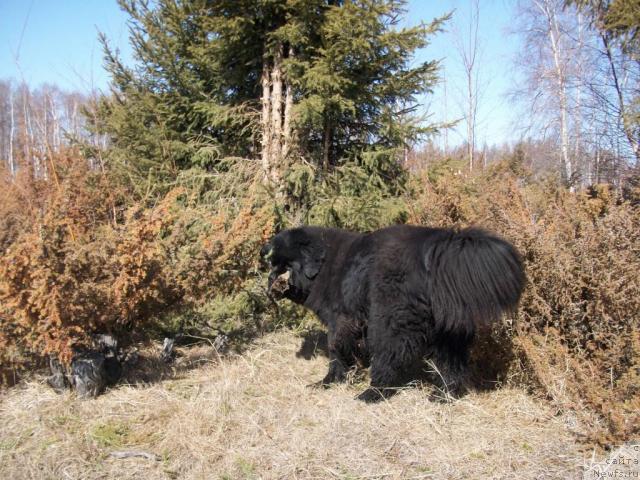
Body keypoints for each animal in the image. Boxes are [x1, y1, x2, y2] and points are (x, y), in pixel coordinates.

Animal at [260, 225, 524, 402]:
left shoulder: (341, 319)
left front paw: (329, 381)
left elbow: (336, 349)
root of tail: (437, 247)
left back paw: (372, 393)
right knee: (452, 362)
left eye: (284, 264)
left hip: (388, 321)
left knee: (389, 356)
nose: (270, 280)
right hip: (449, 327)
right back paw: (444, 395)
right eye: (272, 263)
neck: (323, 263)